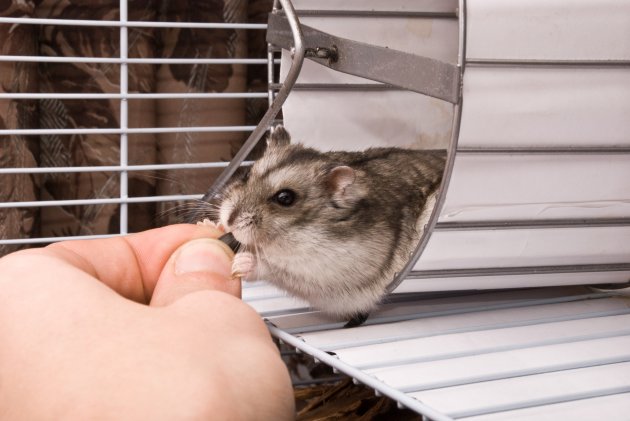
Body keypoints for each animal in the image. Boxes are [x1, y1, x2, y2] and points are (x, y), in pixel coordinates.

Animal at [210, 124, 446, 324]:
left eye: (285, 198)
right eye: (247, 173)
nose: (229, 221)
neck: (301, 231)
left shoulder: (326, 271)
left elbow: (275, 268)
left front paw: (240, 263)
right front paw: (216, 225)